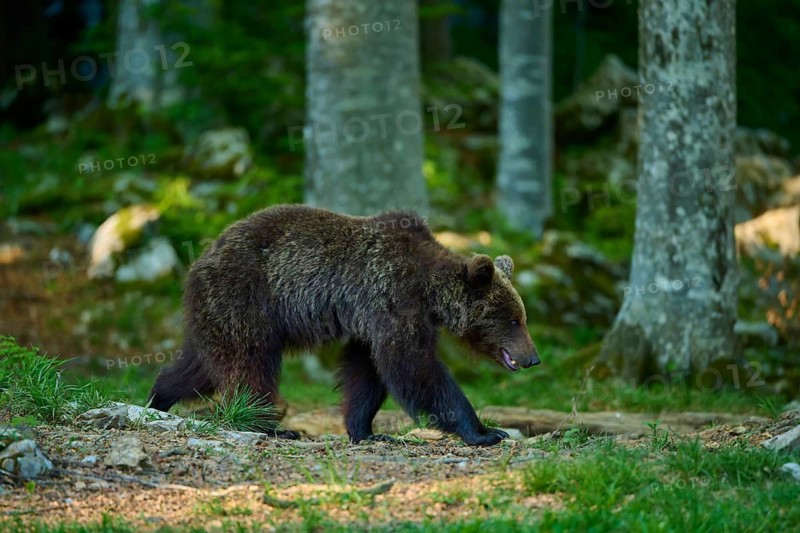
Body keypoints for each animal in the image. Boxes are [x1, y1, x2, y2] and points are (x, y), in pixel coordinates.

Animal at [148, 204, 540, 446]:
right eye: (514, 319)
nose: (533, 358)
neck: (427, 291)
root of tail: (199, 260)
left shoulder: (372, 320)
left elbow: (367, 372)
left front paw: (366, 430)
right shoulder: (391, 298)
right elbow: (415, 369)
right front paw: (486, 431)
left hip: (218, 313)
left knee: (200, 365)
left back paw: (158, 398)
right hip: (246, 299)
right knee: (248, 364)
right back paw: (271, 427)